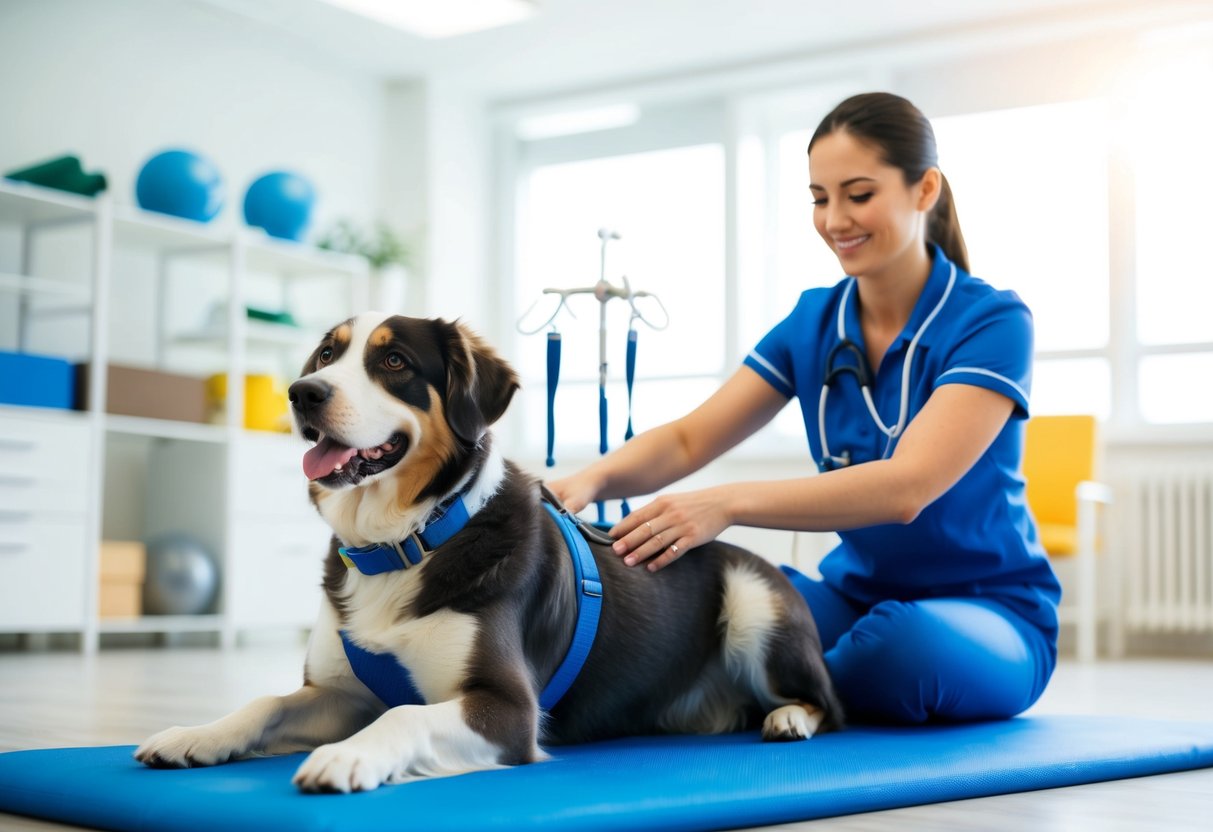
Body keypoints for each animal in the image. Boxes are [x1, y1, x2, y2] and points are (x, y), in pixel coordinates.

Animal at [137, 312, 844, 795]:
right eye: (328, 353)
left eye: (394, 362)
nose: (302, 392)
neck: (406, 543)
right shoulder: (340, 692)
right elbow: (267, 703)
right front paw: (193, 736)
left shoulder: (509, 708)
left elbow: (402, 714)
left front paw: (346, 756)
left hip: (755, 604)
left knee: (830, 706)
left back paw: (790, 718)